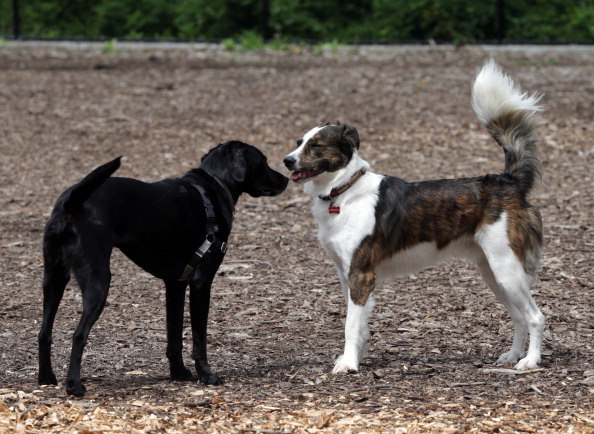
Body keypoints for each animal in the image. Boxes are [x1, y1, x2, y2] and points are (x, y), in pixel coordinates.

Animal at [38, 141, 288, 396]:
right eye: (263, 161)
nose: (286, 178)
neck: (214, 185)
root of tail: (72, 202)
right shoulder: (201, 282)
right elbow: (199, 338)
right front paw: (206, 375)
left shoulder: (175, 285)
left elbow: (174, 335)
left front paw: (178, 372)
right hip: (98, 281)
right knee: (78, 335)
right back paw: (74, 385)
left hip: (53, 280)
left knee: (44, 333)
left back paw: (46, 378)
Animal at [282, 59, 544, 374]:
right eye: (299, 142)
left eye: (316, 146)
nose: (286, 161)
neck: (344, 190)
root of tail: (507, 181)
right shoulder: (347, 275)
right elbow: (359, 324)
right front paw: (357, 355)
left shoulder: (360, 273)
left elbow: (349, 325)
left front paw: (348, 364)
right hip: (493, 272)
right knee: (518, 316)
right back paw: (514, 355)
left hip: (507, 270)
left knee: (535, 316)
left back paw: (530, 361)